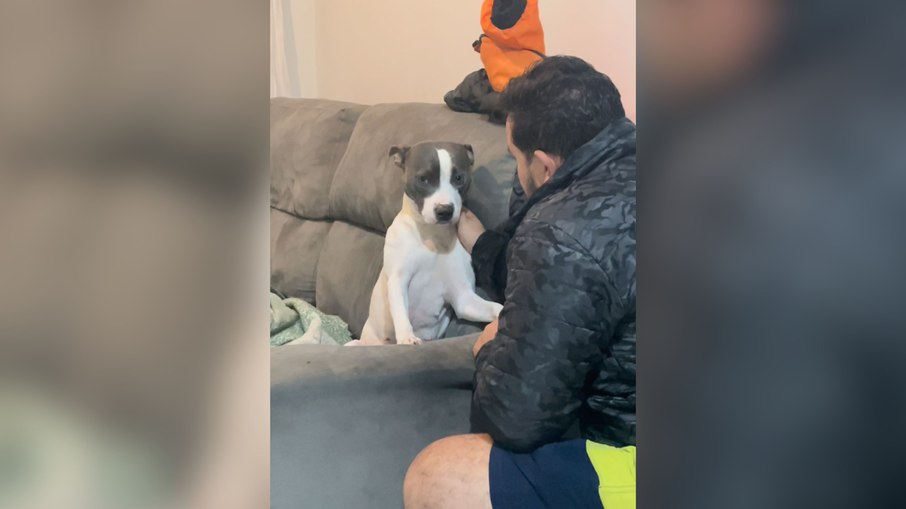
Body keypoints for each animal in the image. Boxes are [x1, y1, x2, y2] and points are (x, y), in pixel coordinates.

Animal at [355, 141, 503, 345]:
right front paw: (407, 338)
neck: (433, 238)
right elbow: (401, 313)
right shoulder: (398, 279)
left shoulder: (463, 298)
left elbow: (496, 308)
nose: (444, 211)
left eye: (458, 178)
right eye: (423, 179)